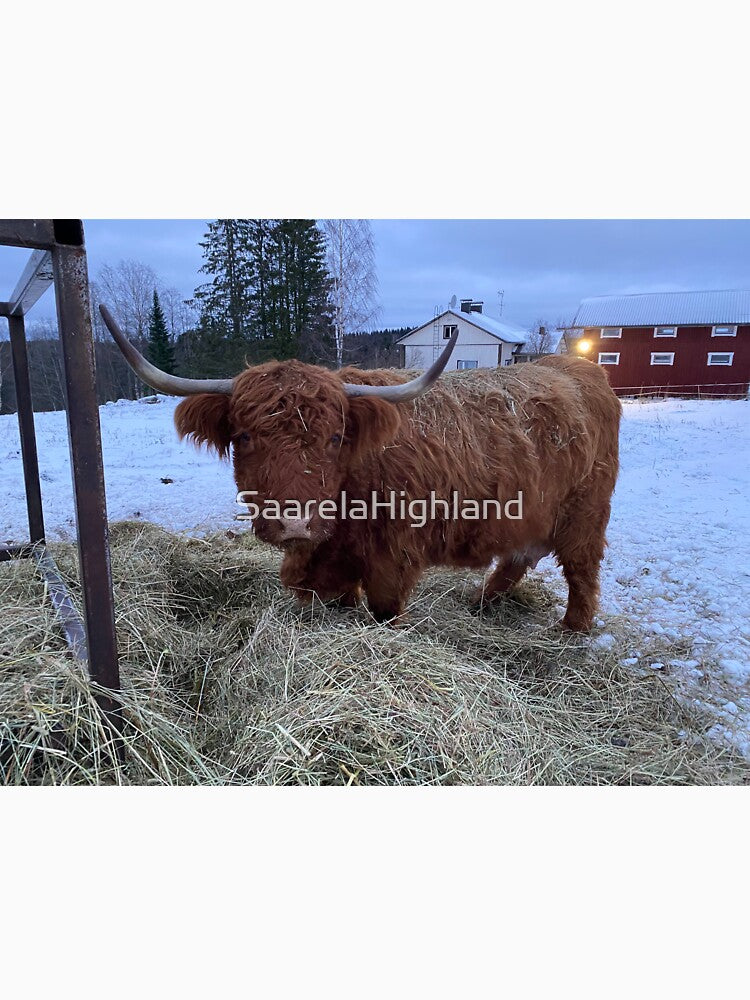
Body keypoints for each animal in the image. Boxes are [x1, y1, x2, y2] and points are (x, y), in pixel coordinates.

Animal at [100, 305, 620, 631]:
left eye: (334, 438)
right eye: (244, 437)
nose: (295, 522)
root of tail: (579, 369)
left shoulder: (394, 558)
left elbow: (385, 612)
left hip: (585, 512)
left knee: (581, 570)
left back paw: (570, 630)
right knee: (519, 558)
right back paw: (482, 602)